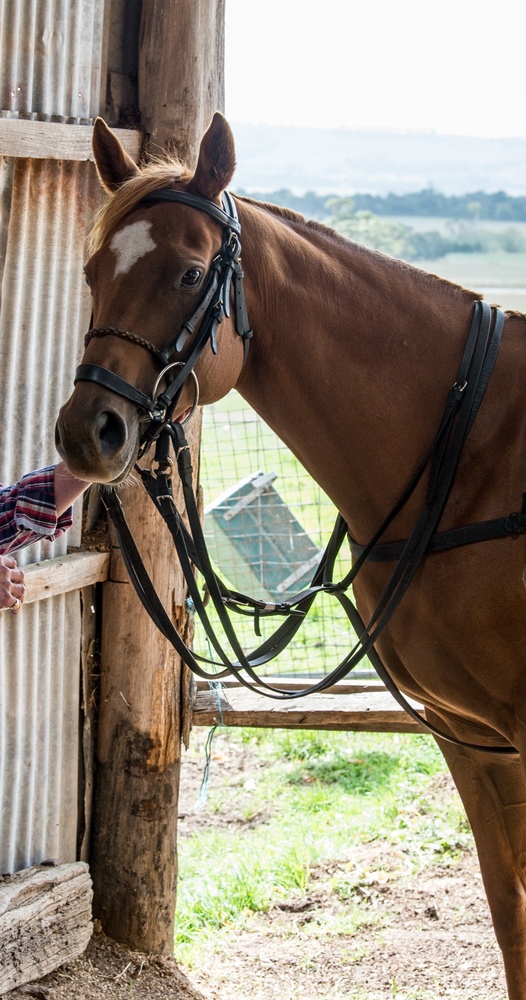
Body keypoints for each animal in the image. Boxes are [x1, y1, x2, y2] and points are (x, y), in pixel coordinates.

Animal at [56, 113, 526, 998]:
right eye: (95, 270)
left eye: (190, 272)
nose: (85, 434)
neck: (477, 448)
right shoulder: (472, 738)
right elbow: (510, 915)